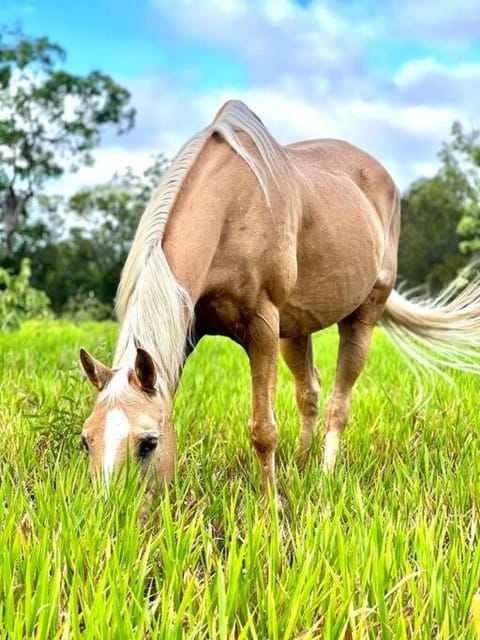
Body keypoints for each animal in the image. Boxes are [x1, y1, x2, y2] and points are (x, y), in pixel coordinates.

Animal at [80, 100, 480, 500]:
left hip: (362, 316)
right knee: (310, 392)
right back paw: (302, 466)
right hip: (295, 330)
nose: (115, 513)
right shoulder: (191, 329)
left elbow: (263, 430)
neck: (229, 208)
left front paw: (270, 505)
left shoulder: (261, 328)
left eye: (148, 442)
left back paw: (324, 477)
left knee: (338, 404)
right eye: (86, 440)